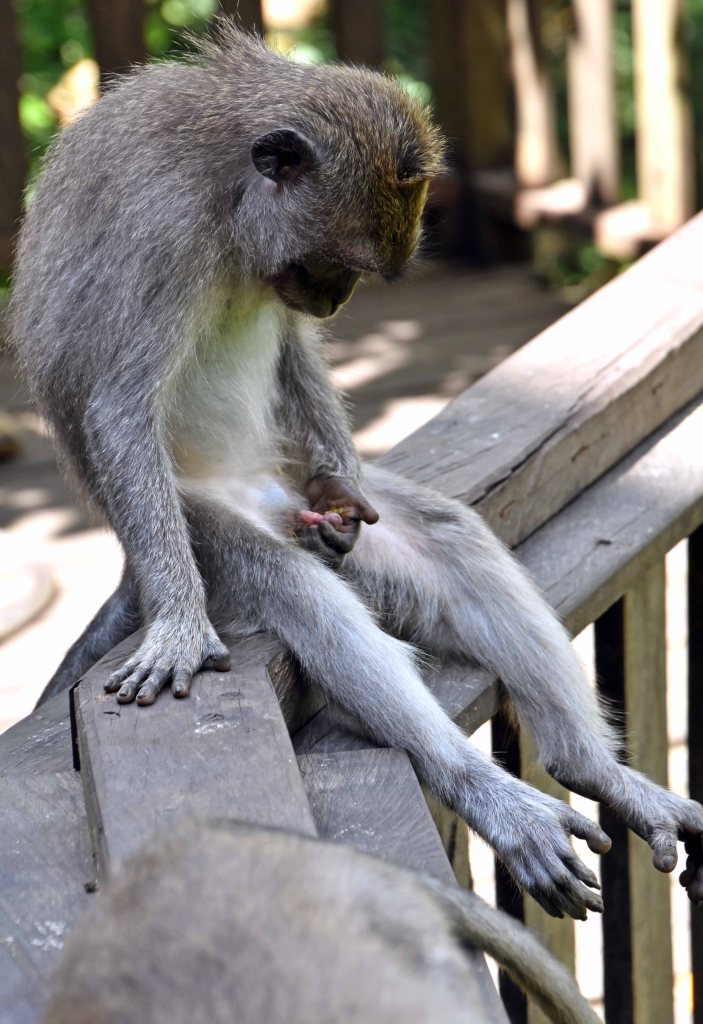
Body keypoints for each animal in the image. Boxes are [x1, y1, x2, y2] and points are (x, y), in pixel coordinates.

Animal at [9, 23, 703, 920]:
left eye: (347, 274)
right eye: (327, 262)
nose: (336, 301)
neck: (224, 200)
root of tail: (265, 497)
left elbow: (293, 352)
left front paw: (343, 486)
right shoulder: (159, 234)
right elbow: (120, 406)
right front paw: (180, 625)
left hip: (292, 483)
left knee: (447, 537)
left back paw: (590, 768)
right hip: (205, 518)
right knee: (295, 588)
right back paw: (484, 790)